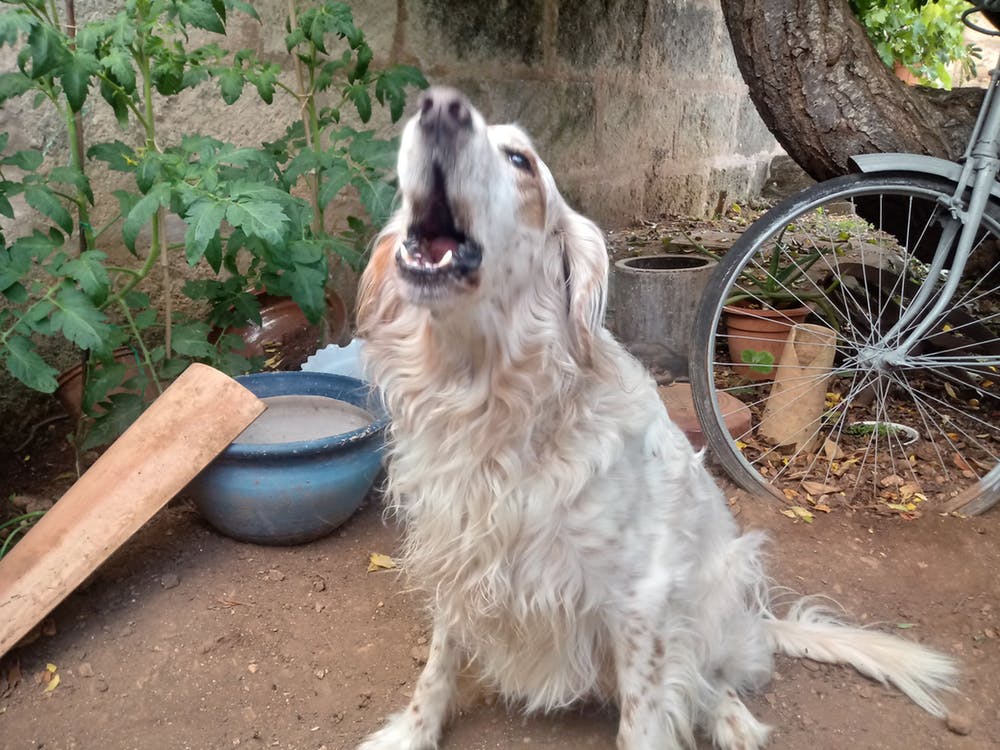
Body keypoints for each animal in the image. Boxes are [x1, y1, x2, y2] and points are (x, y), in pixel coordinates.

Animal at [352, 89, 952, 750]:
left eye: (520, 161)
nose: (438, 107)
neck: (492, 401)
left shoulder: (640, 598)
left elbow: (645, 718)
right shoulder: (457, 557)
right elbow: (437, 664)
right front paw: (410, 733)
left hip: (718, 587)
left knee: (710, 680)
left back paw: (735, 721)